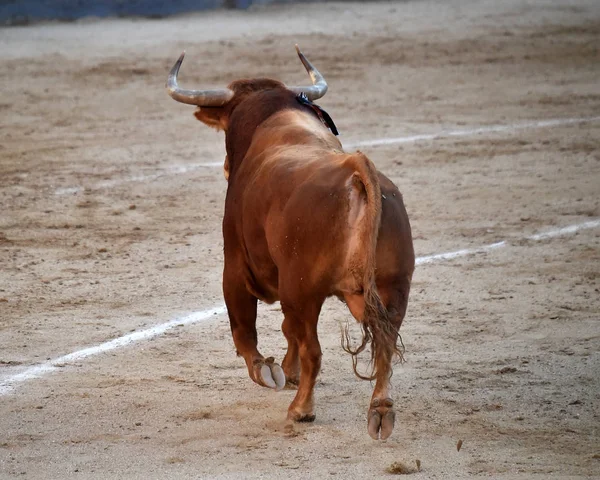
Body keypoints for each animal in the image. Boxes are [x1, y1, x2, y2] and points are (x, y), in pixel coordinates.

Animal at [166, 47, 414, 440]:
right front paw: (286, 369)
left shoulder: (235, 265)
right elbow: (286, 331)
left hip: (302, 291)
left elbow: (244, 329)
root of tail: (355, 169)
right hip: (394, 288)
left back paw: (301, 409)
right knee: (385, 346)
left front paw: (268, 370)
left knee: (314, 348)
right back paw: (380, 411)